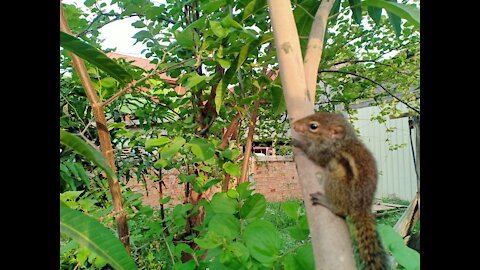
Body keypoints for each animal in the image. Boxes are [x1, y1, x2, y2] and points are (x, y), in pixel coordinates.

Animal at [292, 111, 390, 270]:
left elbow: (313, 154)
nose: (294, 125)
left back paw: (325, 201)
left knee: (341, 210)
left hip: (335, 179)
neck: (342, 141)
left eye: (313, 126)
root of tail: (361, 209)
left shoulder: (325, 152)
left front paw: (299, 143)